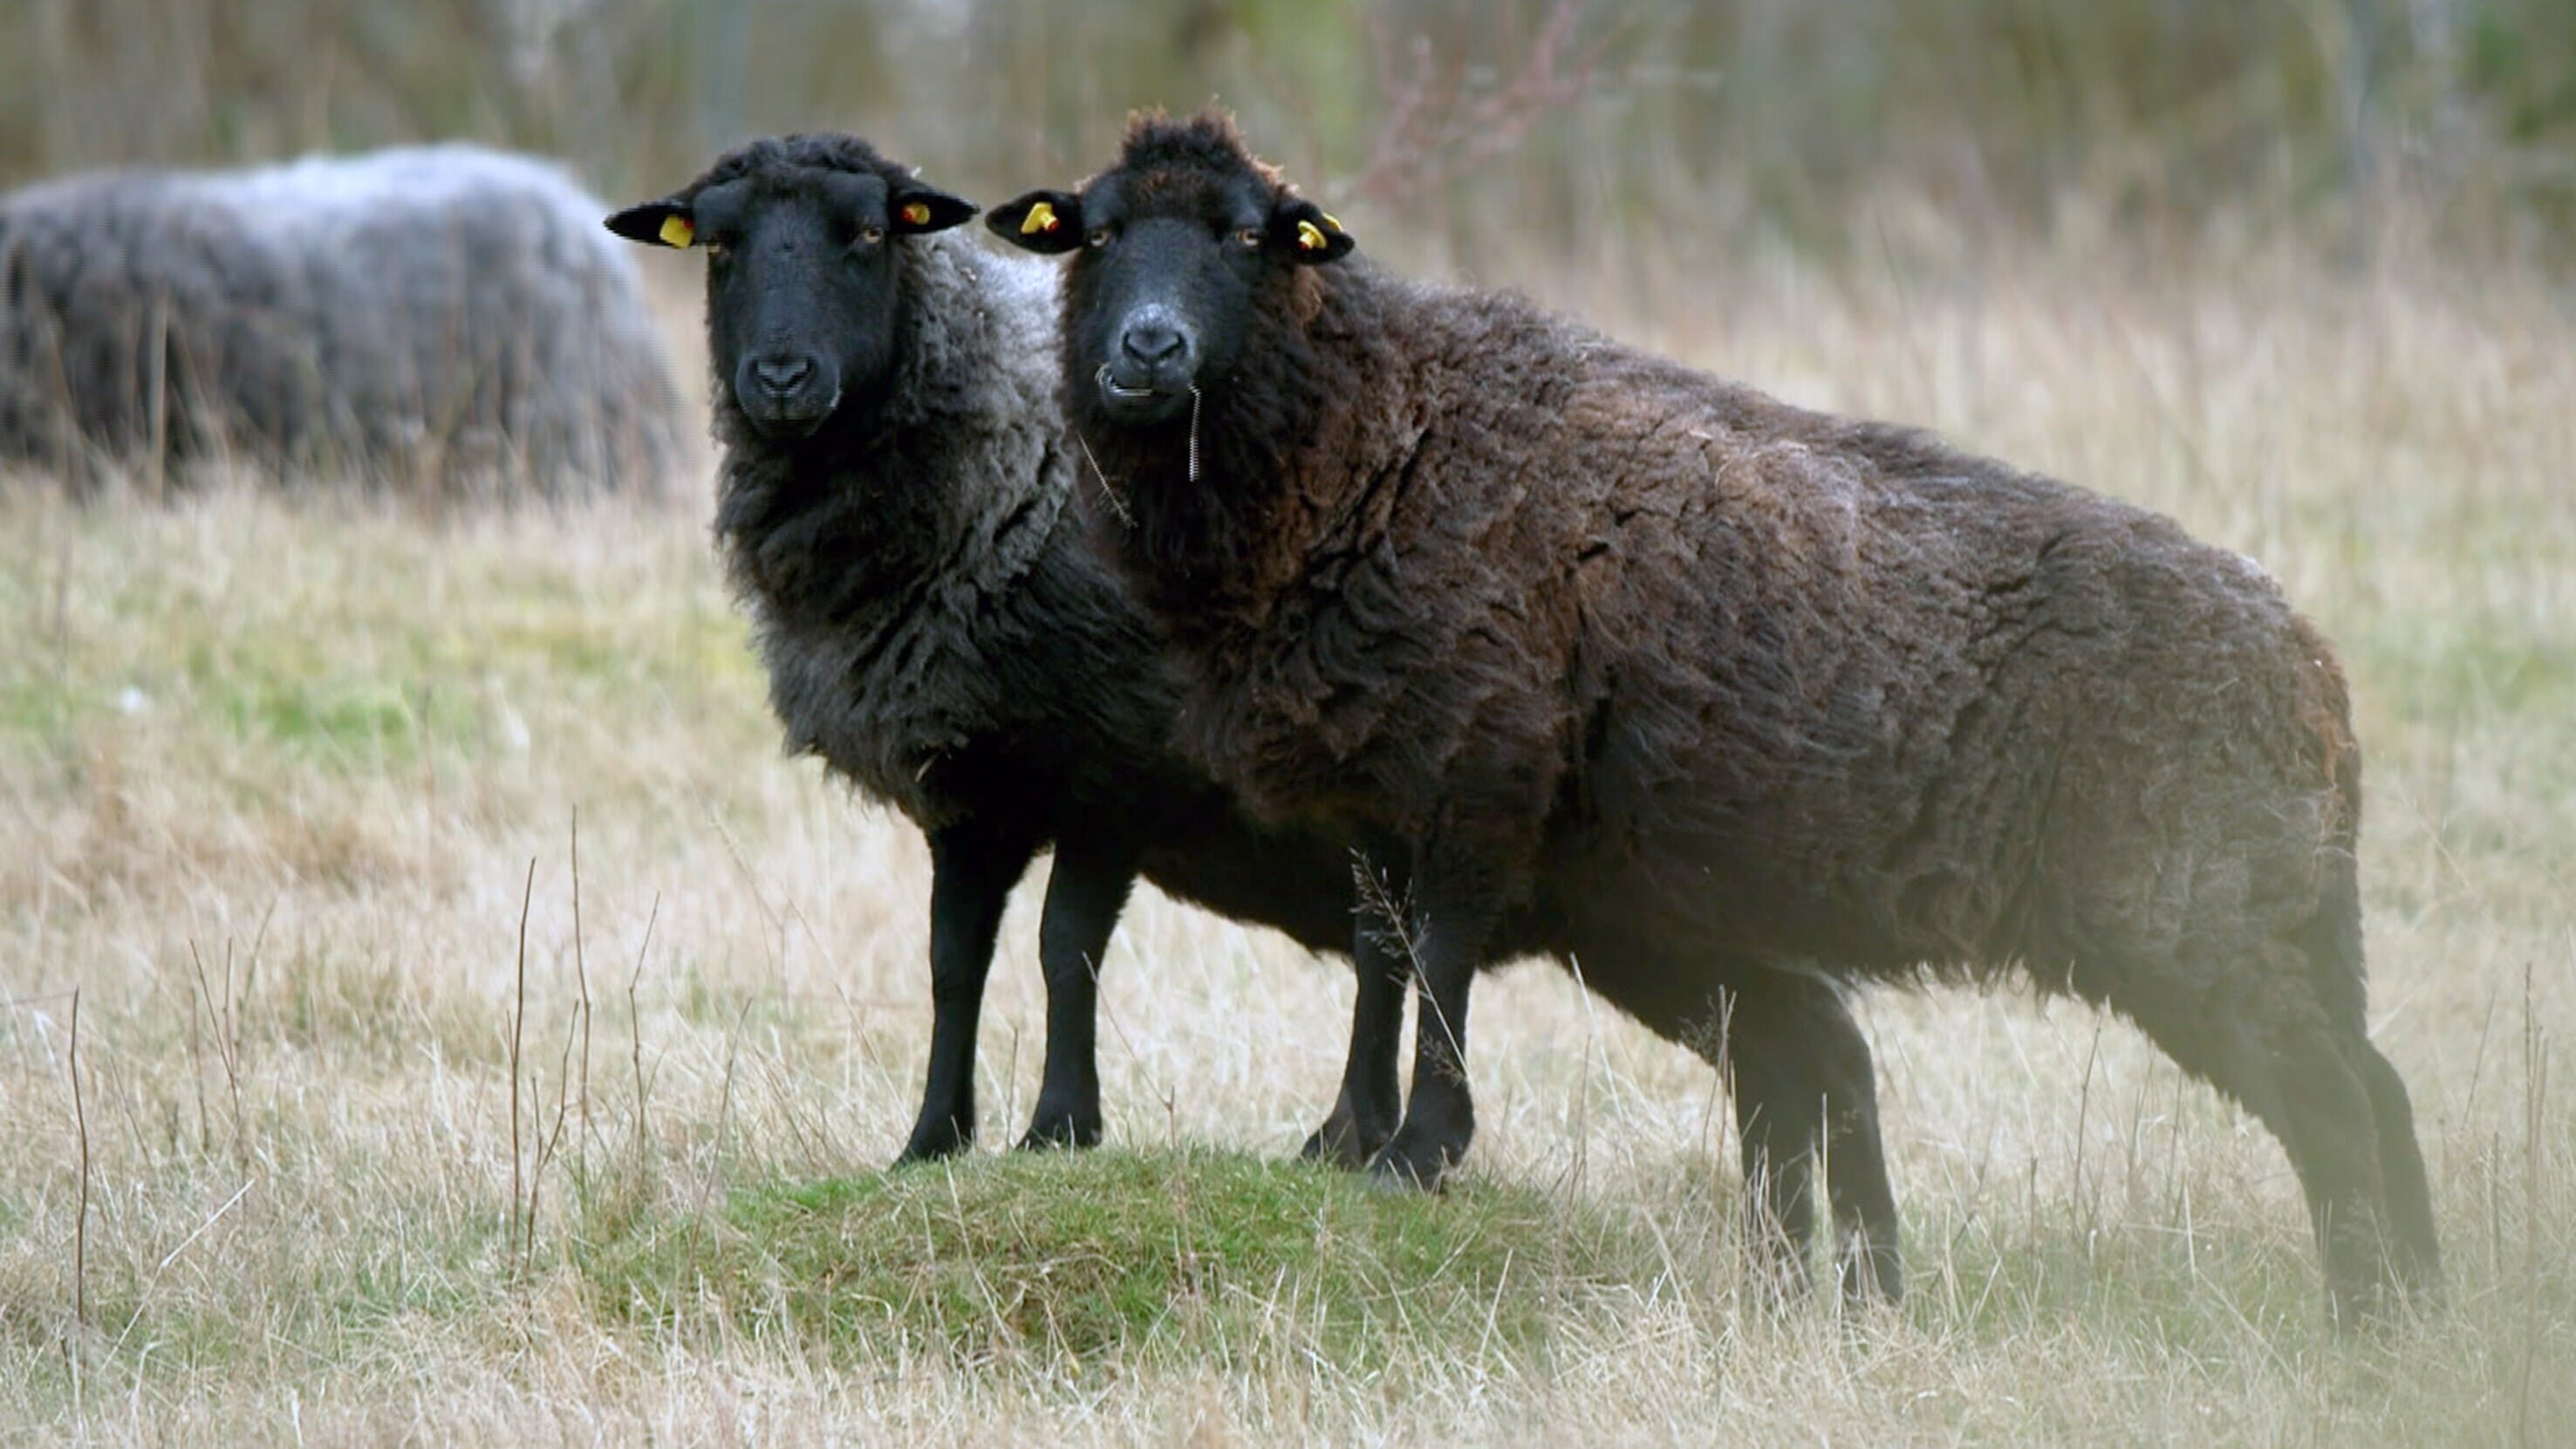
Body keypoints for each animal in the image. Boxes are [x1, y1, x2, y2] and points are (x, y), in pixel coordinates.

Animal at [994, 110, 2442, 1320]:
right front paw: (1348, 1140)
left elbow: (1438, 960)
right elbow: (1379, 956)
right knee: (2374, 1081)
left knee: (2331, 1100)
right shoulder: (1373, 784)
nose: (1147, 350)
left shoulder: (1480, 761)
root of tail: (2315, 673)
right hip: (2267, 921)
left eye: (1246, 235)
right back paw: (2422, 1317)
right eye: (1098, 231)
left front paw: (1418, 1150)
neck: (1376, 436)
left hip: (2193, 920)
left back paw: (2364, 1325)